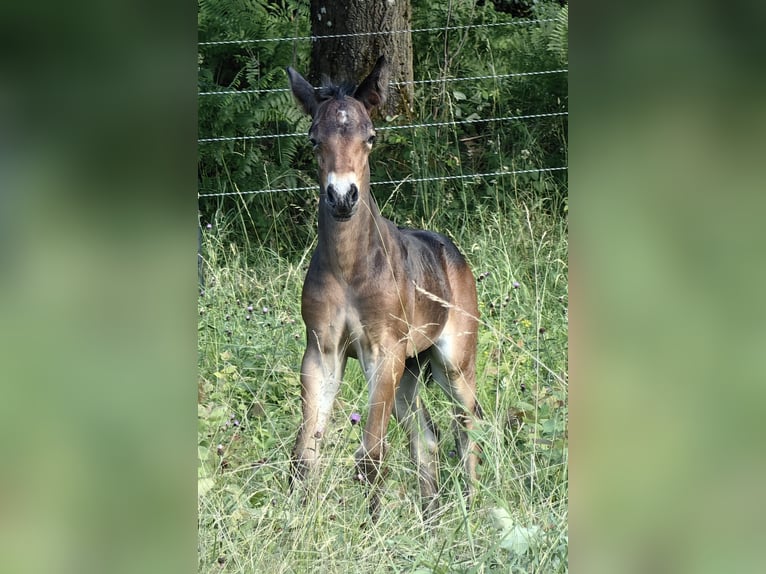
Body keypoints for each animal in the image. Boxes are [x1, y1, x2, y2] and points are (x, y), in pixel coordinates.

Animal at [286, 55, 480, 520]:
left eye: (370, 137)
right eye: (313, 138)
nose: (342, 197)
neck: (350, 271)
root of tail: (453, 254)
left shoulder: (383, 351)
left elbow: (371, 454)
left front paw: (368, 528)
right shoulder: (321, 353)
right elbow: (305, 455)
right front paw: (294, 524)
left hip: (453, 363)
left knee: (468, 427)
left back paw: (473, 511)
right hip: (412, 368)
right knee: (427, 437)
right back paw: (431, 521)